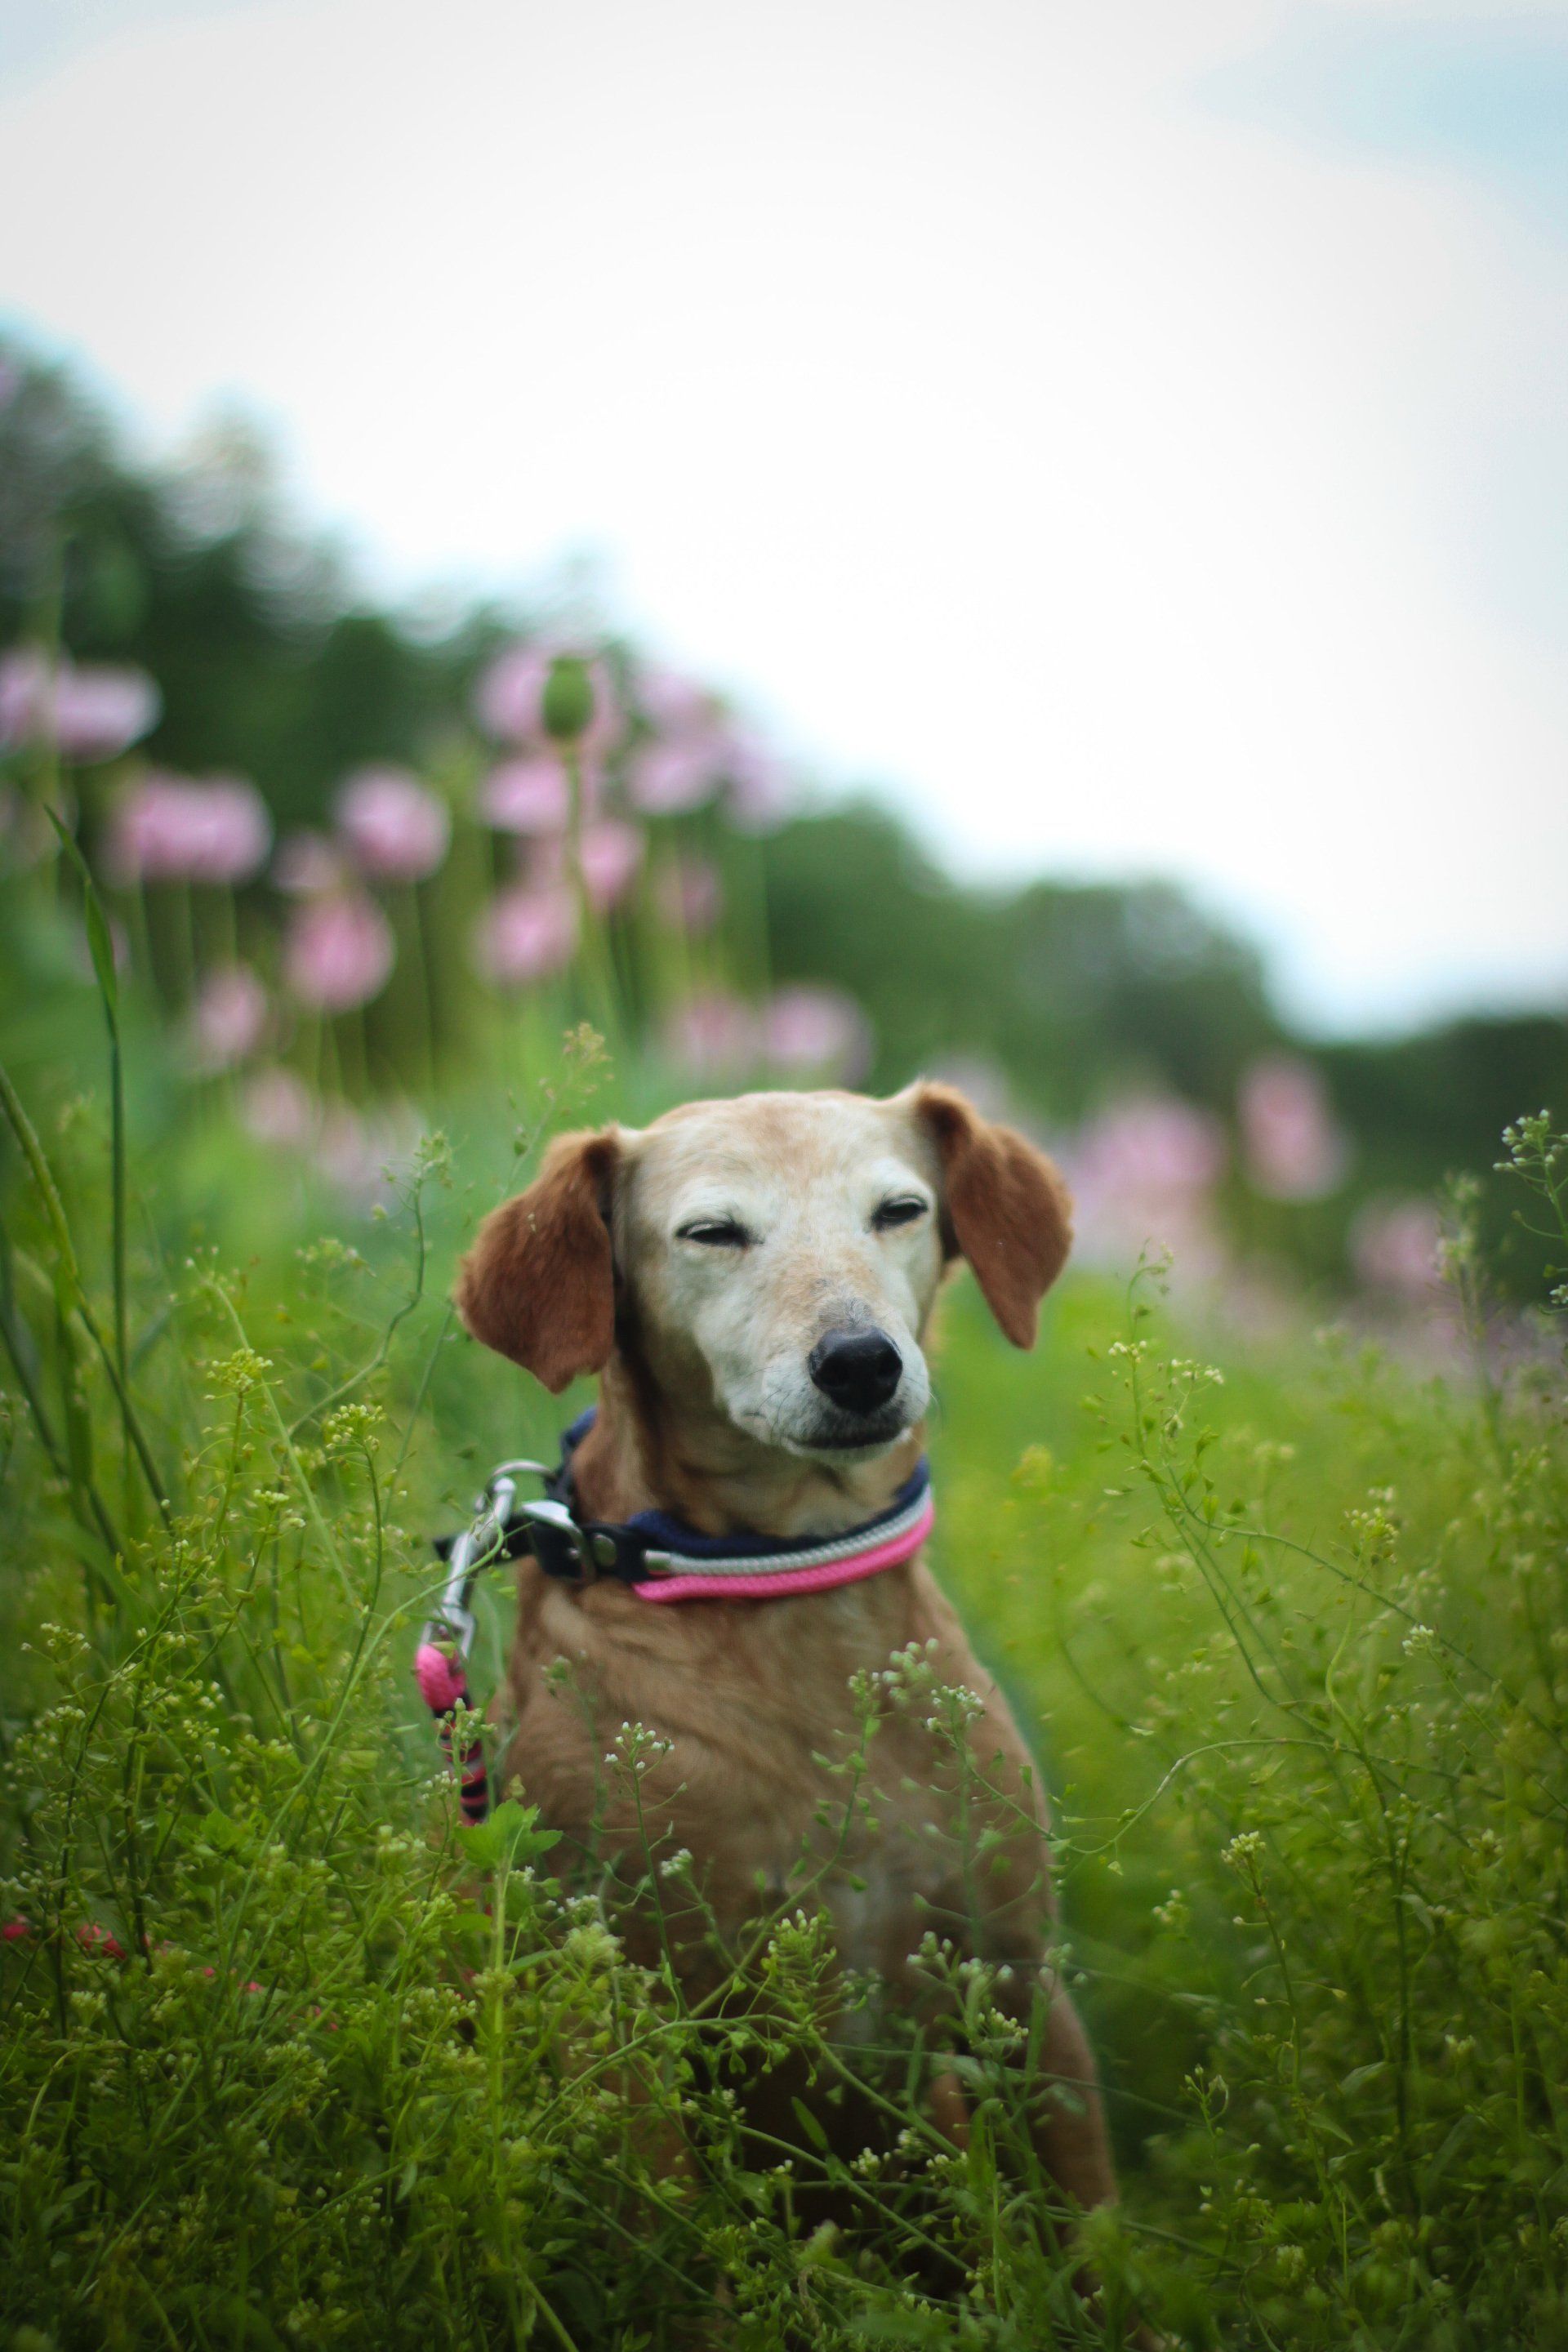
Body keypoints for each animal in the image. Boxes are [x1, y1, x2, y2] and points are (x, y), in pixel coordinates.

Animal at [455, 1080, 1121, 2229]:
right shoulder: (620, 2022)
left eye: (899, 1211)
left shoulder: (1020, 1983)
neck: (790, 1587)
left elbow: (1092, 2223)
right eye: (713, 1233)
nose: (860, 1363)